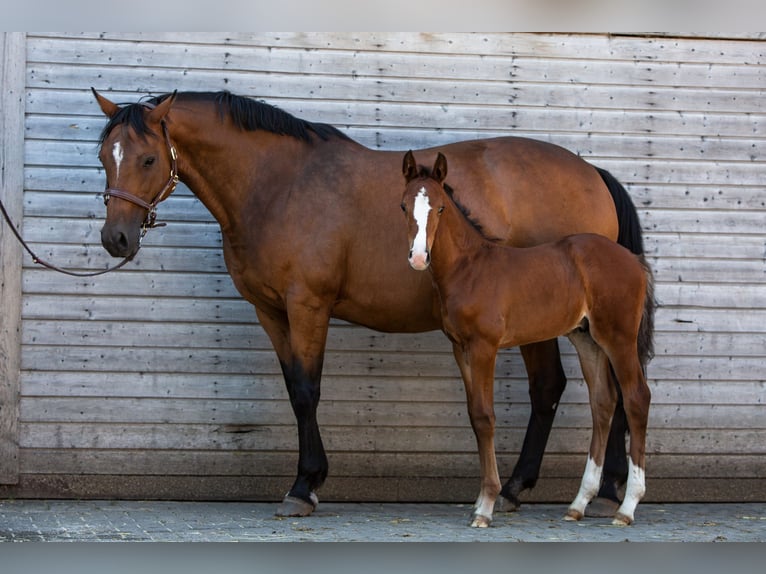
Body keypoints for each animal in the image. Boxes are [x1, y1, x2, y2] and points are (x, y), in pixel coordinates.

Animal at [402, 151, 656, 528]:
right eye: (404, 206)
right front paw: (480, 502)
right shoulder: (460, 348)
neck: (470, 267)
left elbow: (485, 416)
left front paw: (487, 506)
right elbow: (474, 417)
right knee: (603, 402)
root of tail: (634, 261)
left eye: (441, 207)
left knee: (636, 397)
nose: (419, 258)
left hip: (618, 337)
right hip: (587, 340)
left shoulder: (484, 347)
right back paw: (578, 504)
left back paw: (626, 508)